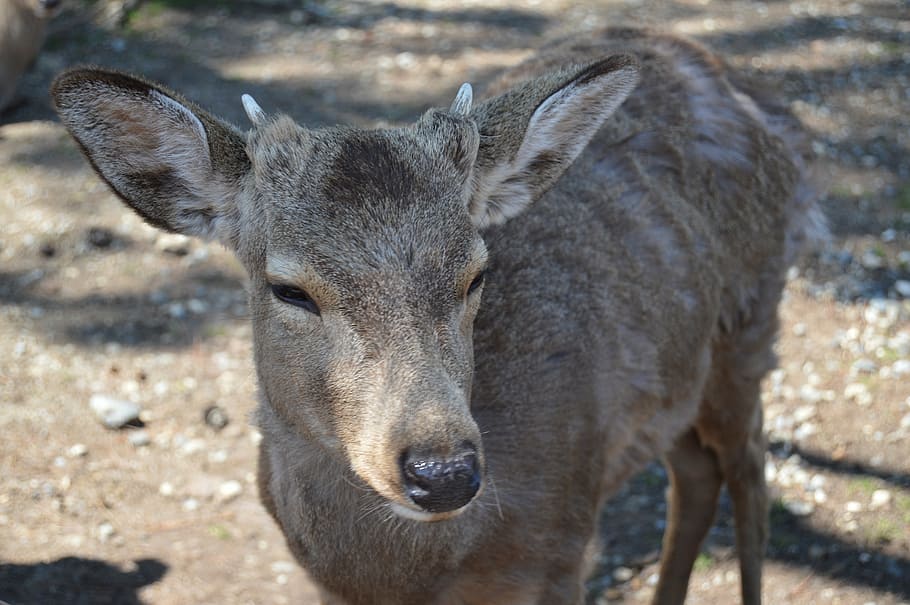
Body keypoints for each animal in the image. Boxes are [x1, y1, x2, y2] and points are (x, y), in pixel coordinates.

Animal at [51, 26, 820, 605]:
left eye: (477, 272)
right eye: (289, 289)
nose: (442, 470)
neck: (410, 574)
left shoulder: (564, 548)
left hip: (751, 321)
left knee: (750, 464)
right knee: (696, 472)